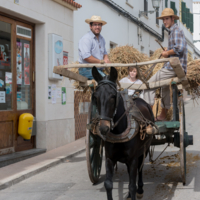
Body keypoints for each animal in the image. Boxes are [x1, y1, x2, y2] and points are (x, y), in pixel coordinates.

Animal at [91, 67, 154, 200]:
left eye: (113, 96)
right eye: (95, 97)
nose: (103, 128)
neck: (118, 132)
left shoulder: (133, 158)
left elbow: (132, 184)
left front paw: (135, 190)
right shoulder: (109, 158)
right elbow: (108, 184)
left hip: (144, 149)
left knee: (139, 169)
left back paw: (140, 189)